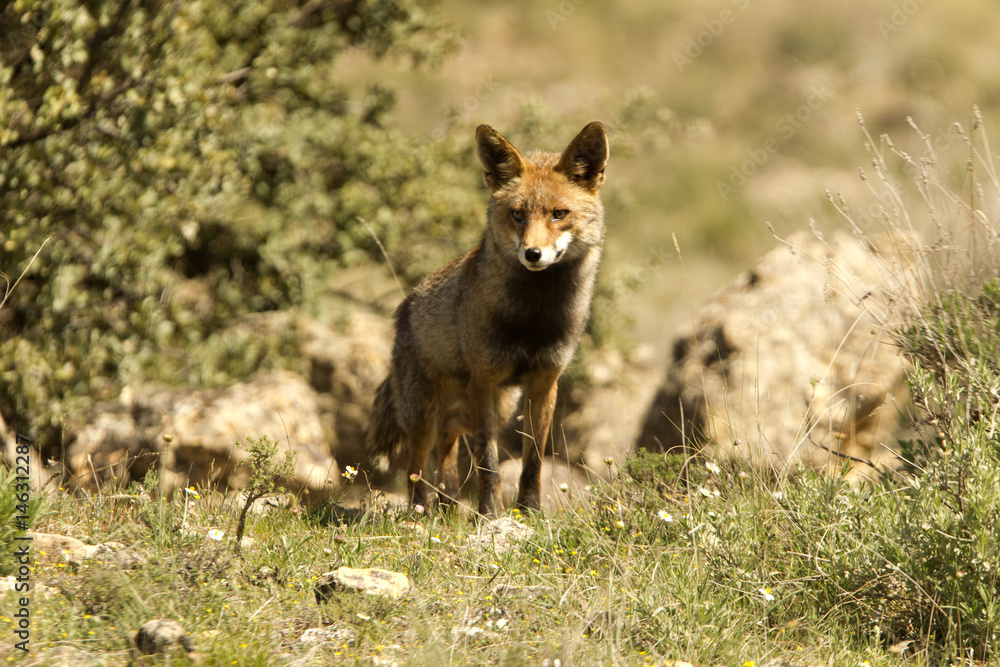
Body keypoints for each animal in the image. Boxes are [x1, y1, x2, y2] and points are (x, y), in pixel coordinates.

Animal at [365, 121, 609, 516]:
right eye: (517, 214)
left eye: (559, 214)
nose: (533, 253)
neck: (534, 319)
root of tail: (405, 307)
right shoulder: (484, 380)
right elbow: (488, 461)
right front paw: (490, 513)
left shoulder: (545, 381)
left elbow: (533, 461)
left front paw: (530, 511)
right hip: (426, 414)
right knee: (417, 465)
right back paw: (421, 512)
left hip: (495, 406)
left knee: (447, 443)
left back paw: (447, 506)